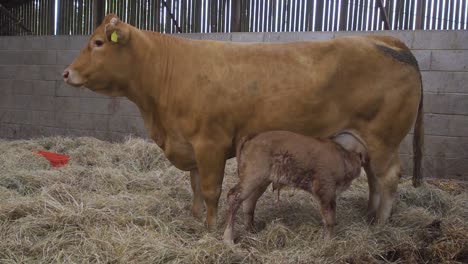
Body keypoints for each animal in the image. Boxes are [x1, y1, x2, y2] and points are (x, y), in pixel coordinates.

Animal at [63, 14, 424, 229]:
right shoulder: (191, 144)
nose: (67, 73)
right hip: (365, 140)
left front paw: (210, 228)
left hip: (383, 137)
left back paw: (380, 224)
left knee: (388, 177)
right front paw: (195, 218)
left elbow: (211, 189)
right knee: (374, 176)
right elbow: (195, 185)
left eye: (98, 43)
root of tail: (382, 39)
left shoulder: (210, 143)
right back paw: (369, 216)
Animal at [223, 130, 370, 243]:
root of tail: (252, 137)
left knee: (248, 201)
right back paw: (228, 239)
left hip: (260, 182)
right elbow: (329, 218)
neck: (342, 157)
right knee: (233, 197)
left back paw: (251, 231)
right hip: (252, 178)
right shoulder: (326, 190)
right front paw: (328, 241)